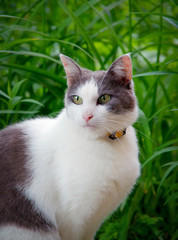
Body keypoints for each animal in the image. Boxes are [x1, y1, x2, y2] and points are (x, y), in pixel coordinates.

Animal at [0, 54, 140, 240]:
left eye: (104, 98)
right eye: (77, 99)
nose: (86, 116)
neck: (103, 143)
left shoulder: (93, 221)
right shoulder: (71, 217)